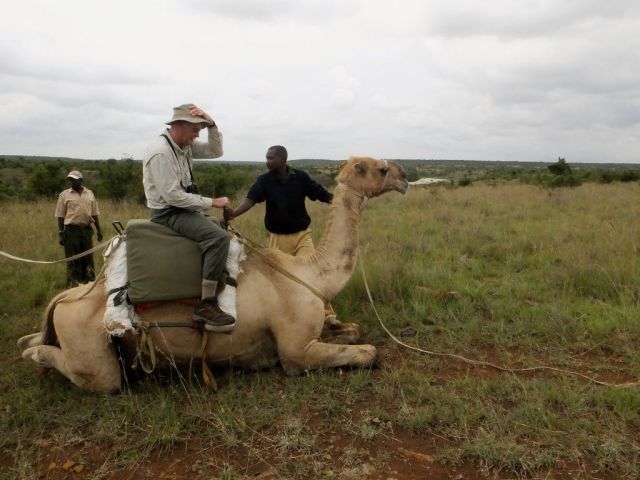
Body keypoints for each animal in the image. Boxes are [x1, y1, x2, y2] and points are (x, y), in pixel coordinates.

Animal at [18, 157, 408, 392]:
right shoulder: (296, 352)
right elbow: (368, 351)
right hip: (92, 352)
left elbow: (353, 331)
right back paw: (36, 362)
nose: (404, 175)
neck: (309, 275)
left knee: (36, 340)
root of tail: (67, 298)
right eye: (379, 169)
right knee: (85, 371)